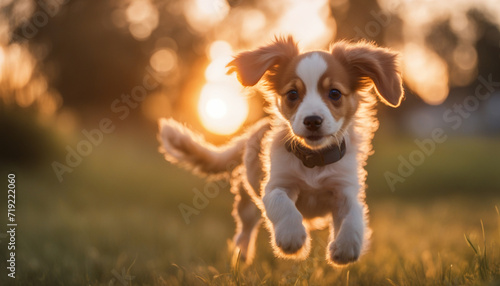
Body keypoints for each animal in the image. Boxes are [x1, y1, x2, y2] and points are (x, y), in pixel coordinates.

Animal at [158, 35, 404, 266]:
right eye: (292, 94)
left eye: (334, 93)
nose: (312, 120)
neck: (314, 160)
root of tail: (253, 130)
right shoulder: (275, 184)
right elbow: (281, 203)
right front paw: (290, 236)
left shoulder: (345, 188)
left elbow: (354, 215)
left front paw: (346, 248)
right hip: (247, 203)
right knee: (244, 230)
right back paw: (241, 257)